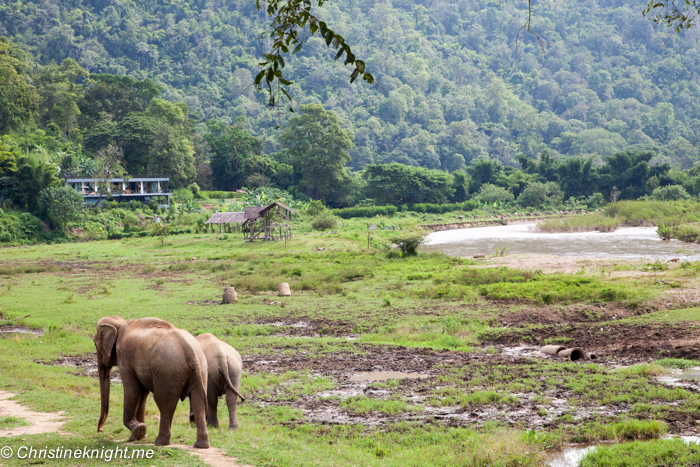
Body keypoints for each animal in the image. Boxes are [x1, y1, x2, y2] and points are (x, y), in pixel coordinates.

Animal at [94, 316, 212, 448]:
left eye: (95, 343)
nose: (100, 430)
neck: (121, 323)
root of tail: (189, 349)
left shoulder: (124, 357)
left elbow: (133, 391)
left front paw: (138, 430)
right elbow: (143, 394)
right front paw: (138, 436)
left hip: (168, 370)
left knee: (165, 403)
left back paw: (160, 442)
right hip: (201, 369)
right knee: (198, 403)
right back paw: (201, 445)